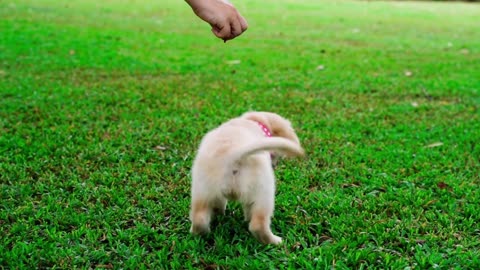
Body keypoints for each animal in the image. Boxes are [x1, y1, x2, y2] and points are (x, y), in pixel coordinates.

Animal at [188, 111, 304, 245]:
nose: (275, 165)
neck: (255, 122)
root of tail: (233, 155)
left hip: (202, 191)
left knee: (199, 219)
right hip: (264, 191)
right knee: (258, 225)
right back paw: (276, 241)